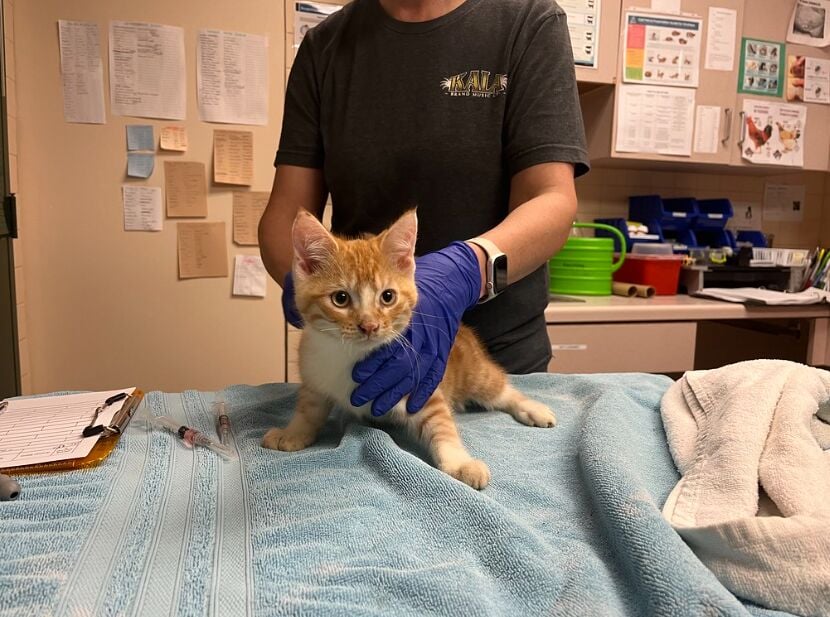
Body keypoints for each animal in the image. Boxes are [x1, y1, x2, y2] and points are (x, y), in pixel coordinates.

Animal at [262, 209, 560, 488]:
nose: (369, 326)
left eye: (388, 296)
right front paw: (293, 433)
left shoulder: (420, 386)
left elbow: (441, 425)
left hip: (475, 374)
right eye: (340, 298)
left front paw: (459, 462)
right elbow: (308, 409)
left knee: (501, 388)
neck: (351, 356)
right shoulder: (314, 375)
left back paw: (532, 409)